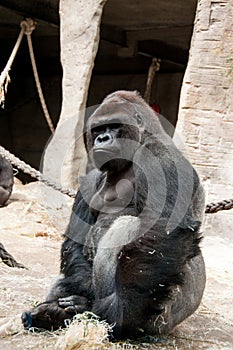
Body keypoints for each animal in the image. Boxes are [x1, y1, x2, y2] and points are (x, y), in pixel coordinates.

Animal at [20, 90, 205, 340]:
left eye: (115, 125)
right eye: (98, 129)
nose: (103, 139)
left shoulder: (159, 156)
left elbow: (163, 226)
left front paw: (121, 312)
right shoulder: (90, 179)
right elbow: (75, 243)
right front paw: (68, 301)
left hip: (165, 318)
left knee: (127, 227)